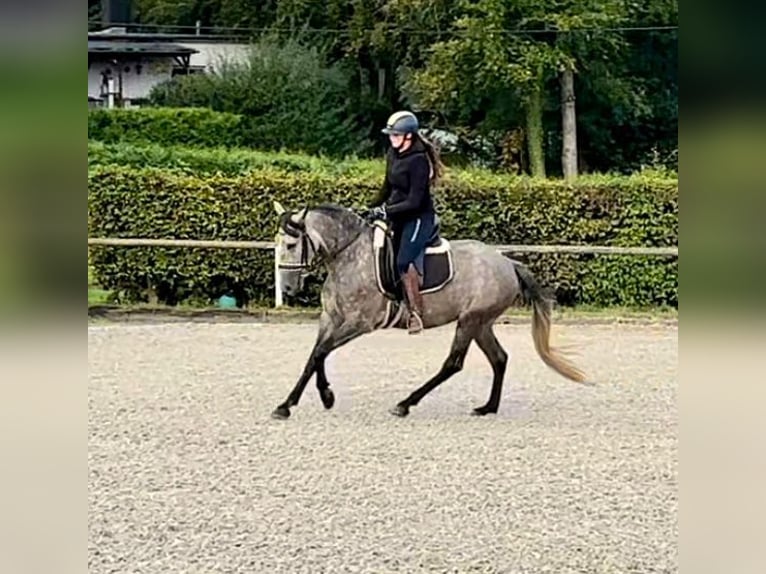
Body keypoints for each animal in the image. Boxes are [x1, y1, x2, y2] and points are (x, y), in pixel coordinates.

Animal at [272, 200, 592, 420]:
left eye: (291, 243)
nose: (287, 288)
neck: (348, 256)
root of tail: (507, 262)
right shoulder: (331, 319)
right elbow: (315, 356)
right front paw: (296, 402)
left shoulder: (359, 322)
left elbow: (321, 353)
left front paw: (314, 398)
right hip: (481, 323)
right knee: (499, 358)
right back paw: (488, 407)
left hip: (470, 320)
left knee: (453, 364)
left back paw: (405, 404)